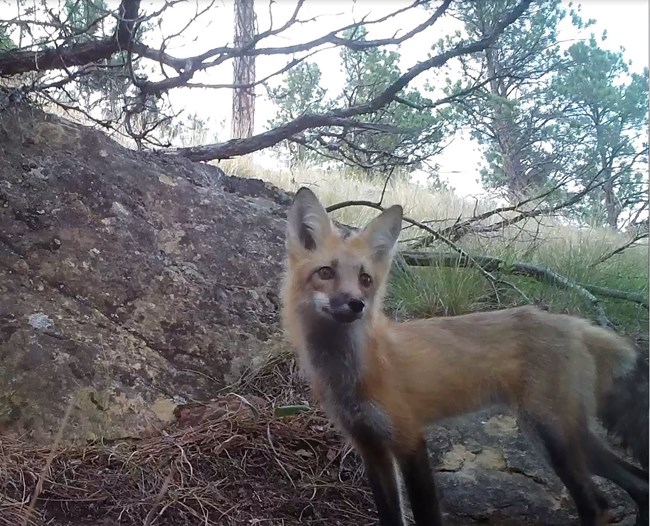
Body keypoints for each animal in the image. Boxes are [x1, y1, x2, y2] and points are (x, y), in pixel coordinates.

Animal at [280, 188, 648, 526]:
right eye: (325, 273)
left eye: (365, 279)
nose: (356, 304)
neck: (351, 374)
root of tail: (574, 323)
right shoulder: (370, 447)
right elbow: (390, 516)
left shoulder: (409, 438)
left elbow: (427, 514)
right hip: (563, 435)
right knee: (638, 483)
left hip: (551, 434)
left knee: (599, 504)